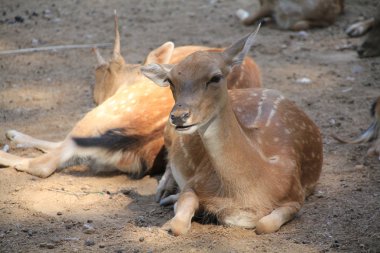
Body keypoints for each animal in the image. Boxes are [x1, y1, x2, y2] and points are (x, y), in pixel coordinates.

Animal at [142, 26, 324, 235]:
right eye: (170, 81)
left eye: (215, 77)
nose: (179, 116)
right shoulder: (195, 181)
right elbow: (178, 224)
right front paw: (175, 205)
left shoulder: (296, 194)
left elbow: (264, 224)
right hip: (168, 132)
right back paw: (163, 192)